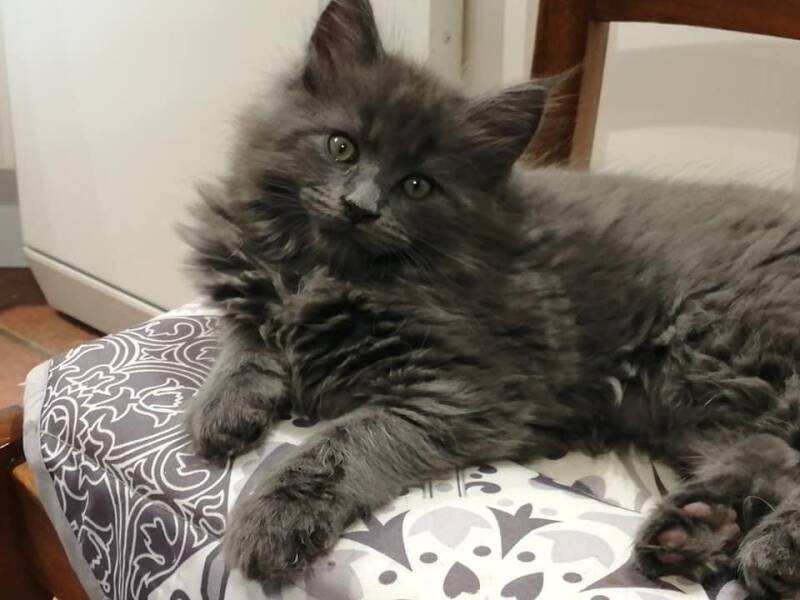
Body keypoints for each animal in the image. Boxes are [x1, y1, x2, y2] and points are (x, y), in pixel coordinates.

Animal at [182, 0, 800, 596]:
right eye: (341, 146)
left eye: (418, 185)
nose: (360, 207)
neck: (328, 274)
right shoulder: (252, 288)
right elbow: (242, 337)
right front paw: (224, 406)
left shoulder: (463, 390)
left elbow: (342, 443)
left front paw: (274, 516)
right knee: (771, 457)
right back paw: (695, 525)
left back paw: (772, 549)